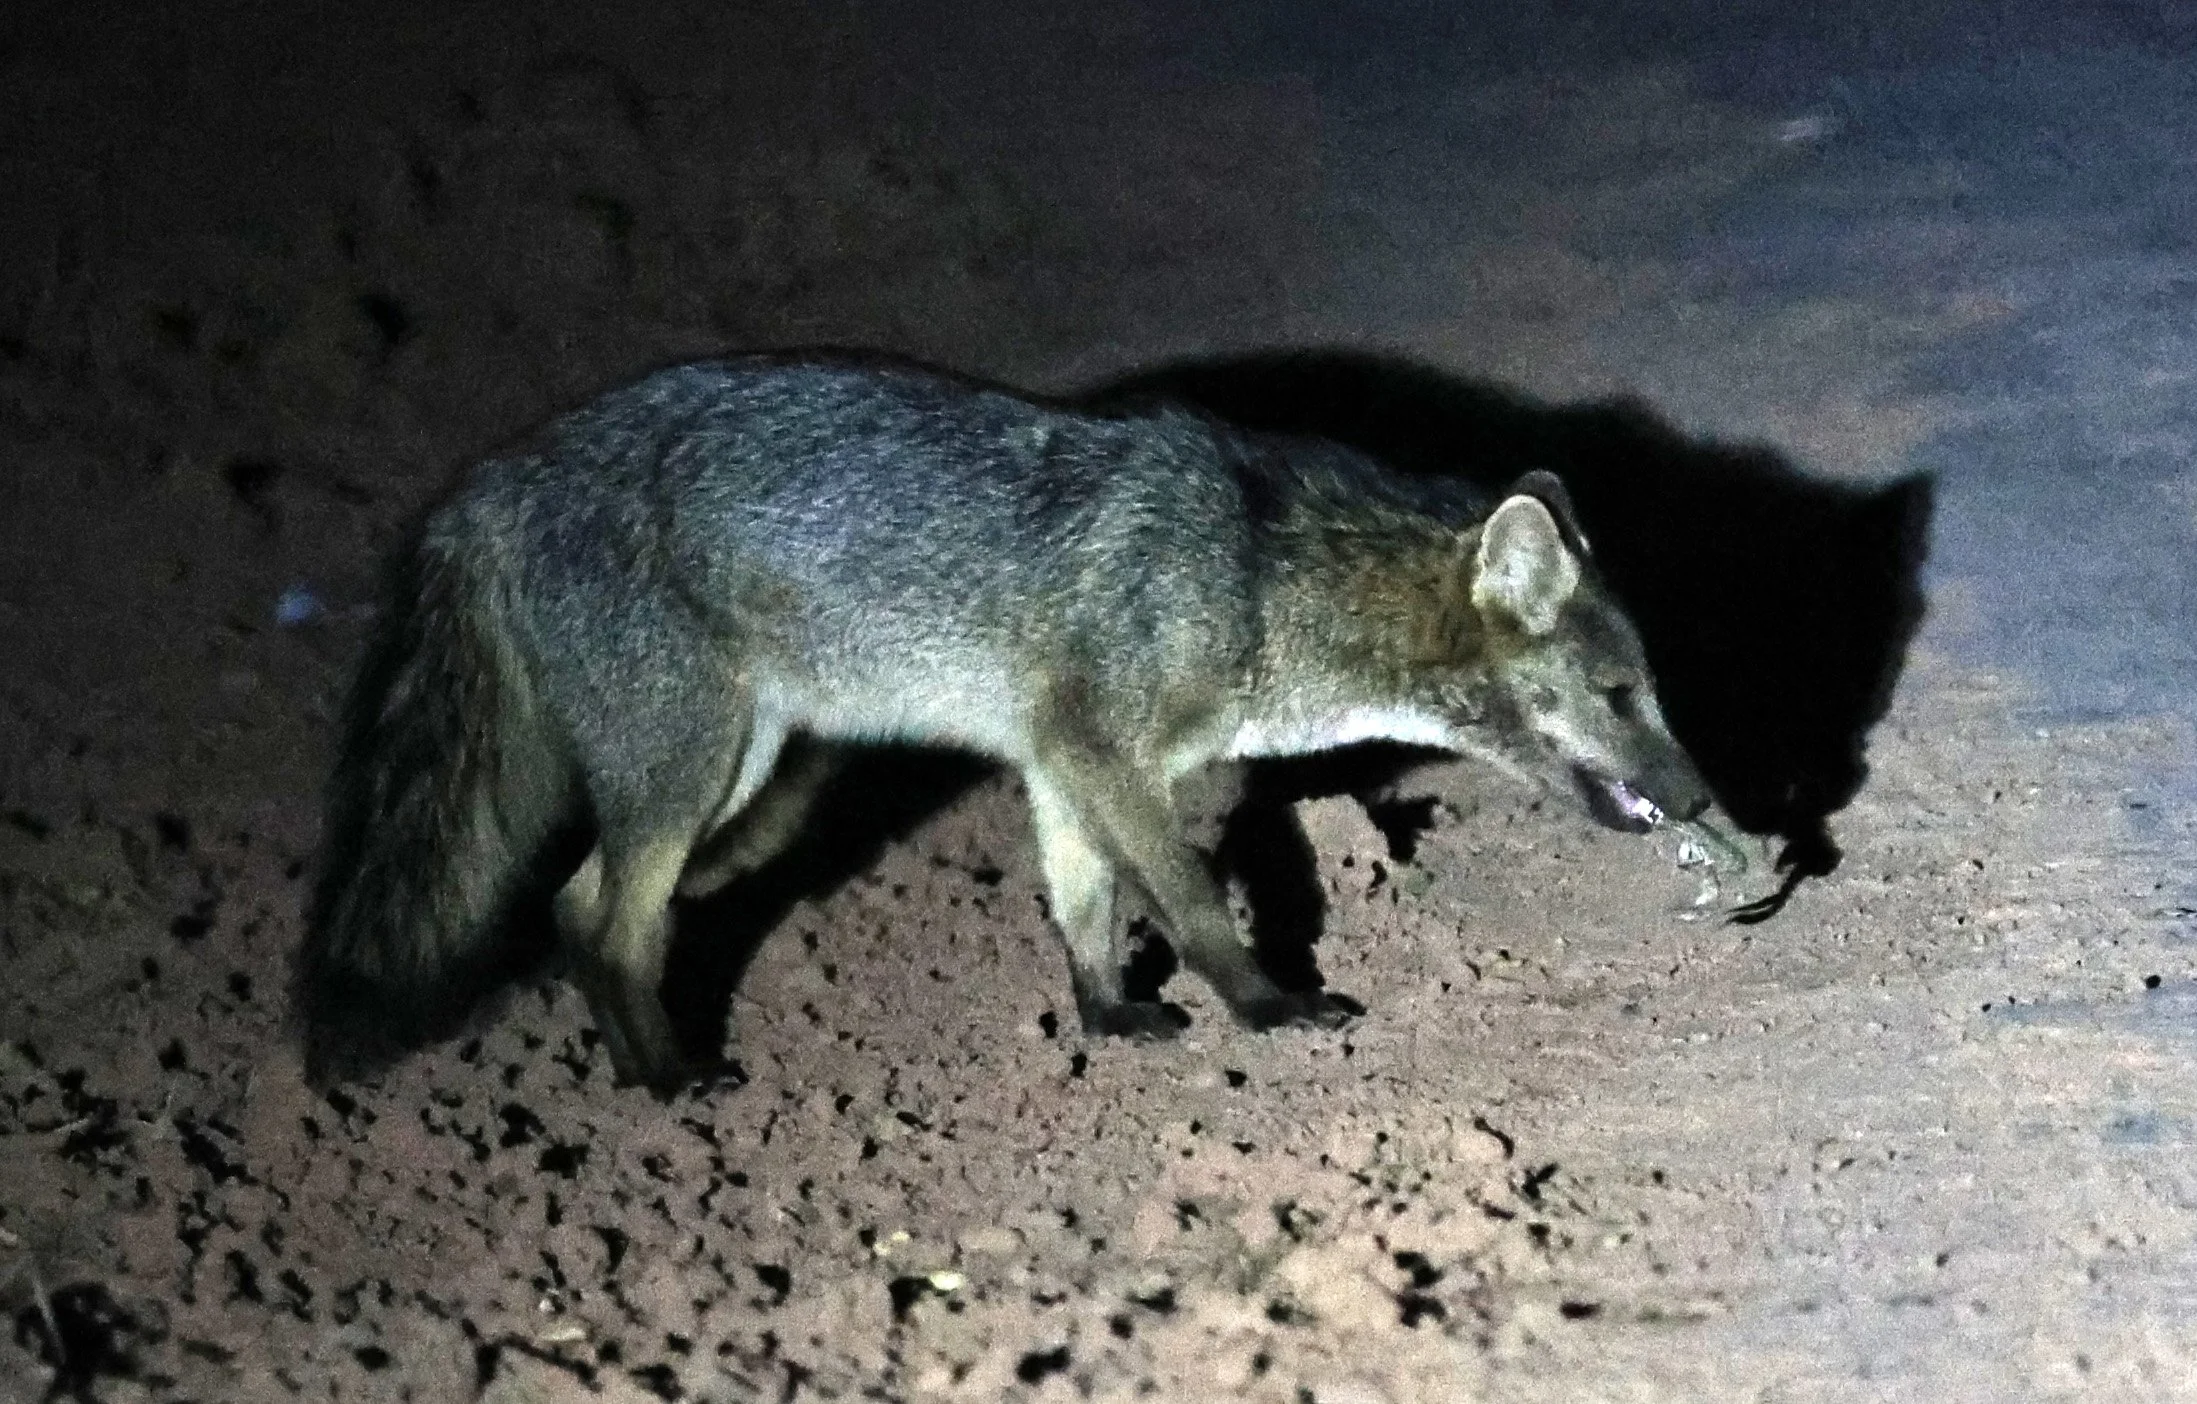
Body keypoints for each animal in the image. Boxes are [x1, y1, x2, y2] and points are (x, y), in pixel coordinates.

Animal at [300, 352, 1727, 1089]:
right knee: (603, 921)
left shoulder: (1060, 764)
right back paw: (668, 1082)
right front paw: (1266, 1010)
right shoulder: (1107, 756)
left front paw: (1107, 1019)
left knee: (573, 905)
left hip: (738, 774)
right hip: (689, 775)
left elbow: (1085, 907)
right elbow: (1195, 901)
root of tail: (485, 485)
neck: (1254, 571)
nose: (1708, 804)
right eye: (1620, 696)